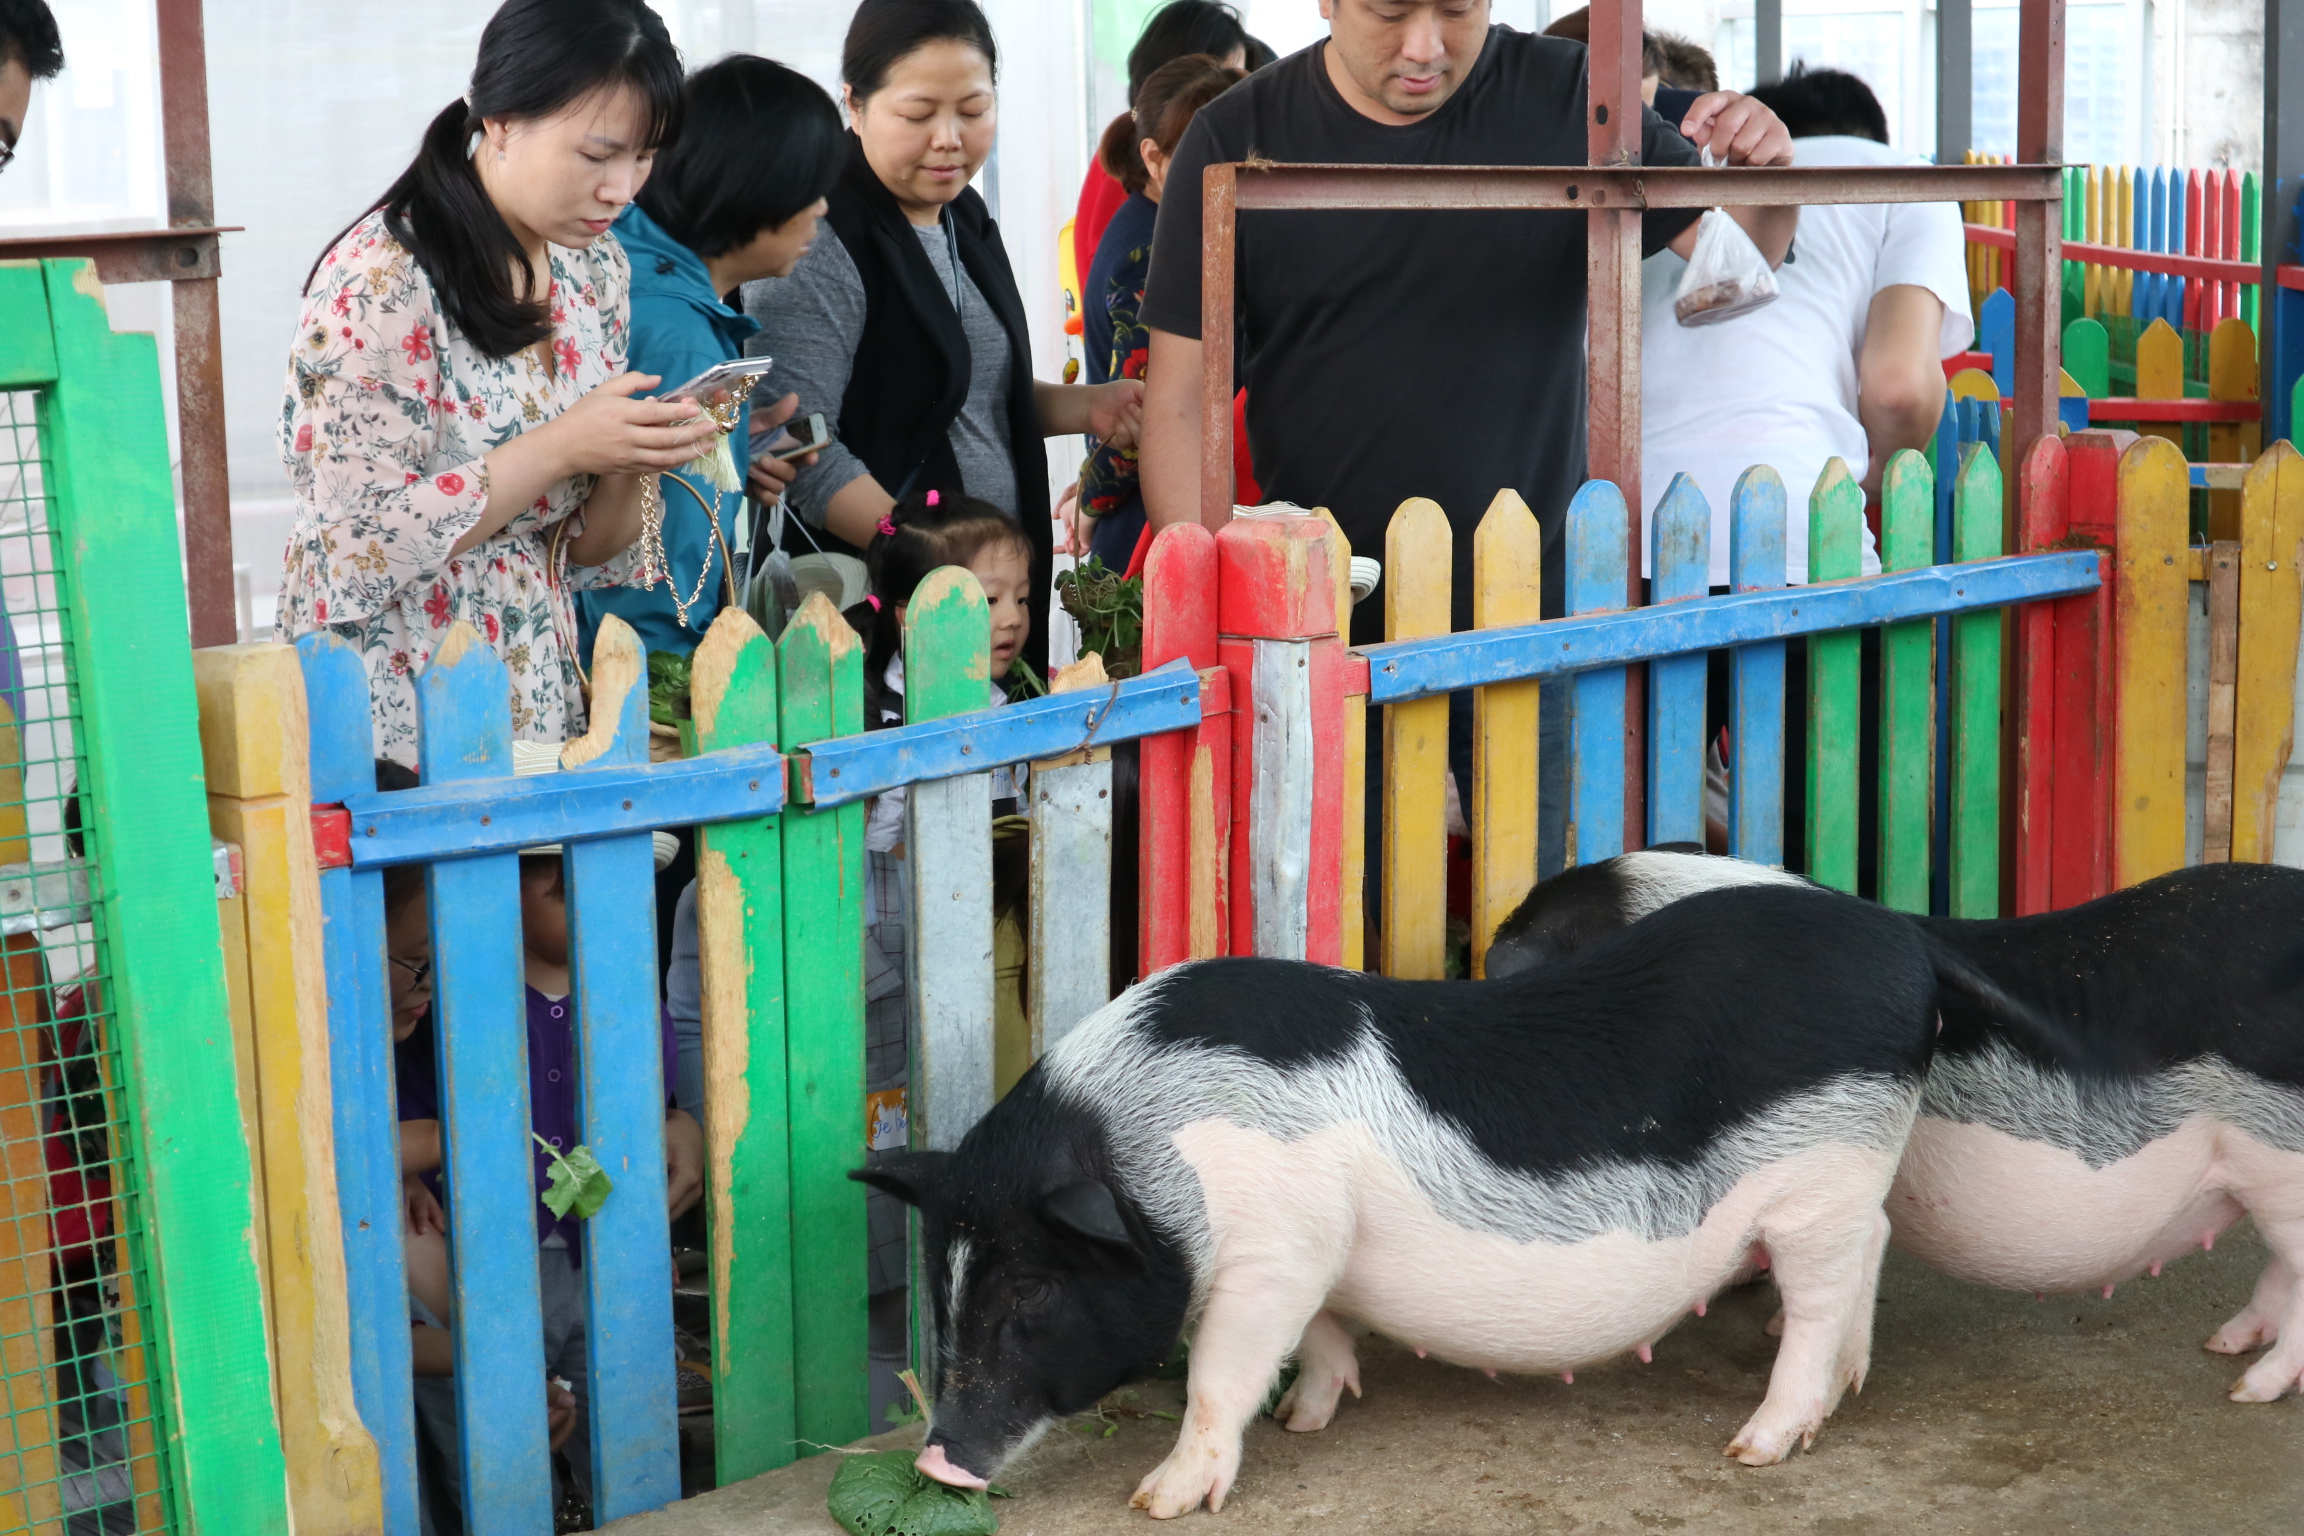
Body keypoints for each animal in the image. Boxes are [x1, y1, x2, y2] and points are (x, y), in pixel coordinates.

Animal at [866, 884, 2018, 1519]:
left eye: (1030, 1296)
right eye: (943, 1285)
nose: (936, 1458)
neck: (1151, 1148)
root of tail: (1904, 940)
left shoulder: (1276, 1252)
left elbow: (1216, 1376)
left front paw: (1162, 1500)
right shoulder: (1325, 1252)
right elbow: (1323, 1334)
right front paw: (1309, 1421)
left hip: (1821, 1176)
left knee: (1823, 1298)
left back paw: (1761, 1444)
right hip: (1848, 1182)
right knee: (1870, 1251)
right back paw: (1844, 1393)